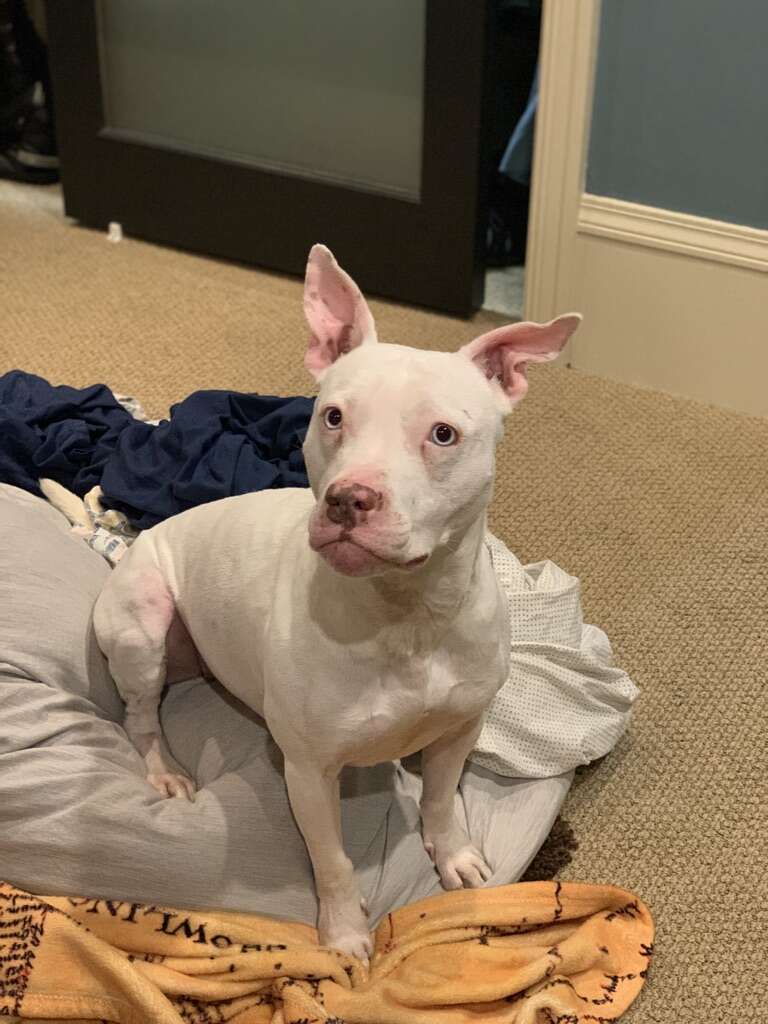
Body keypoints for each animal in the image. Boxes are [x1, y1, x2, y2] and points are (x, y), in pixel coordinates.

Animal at [91, 243, 581, 954]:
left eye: (442, 434)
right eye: (332, 416)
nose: (349, 499)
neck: (406, 614)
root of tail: (139, 538)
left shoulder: (458, 729)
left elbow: (440, 800)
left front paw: (453, 854)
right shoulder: (308, 771)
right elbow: (334, 860)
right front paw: (347, 935)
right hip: (143, 625)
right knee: (140, 715)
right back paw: (165, 770)